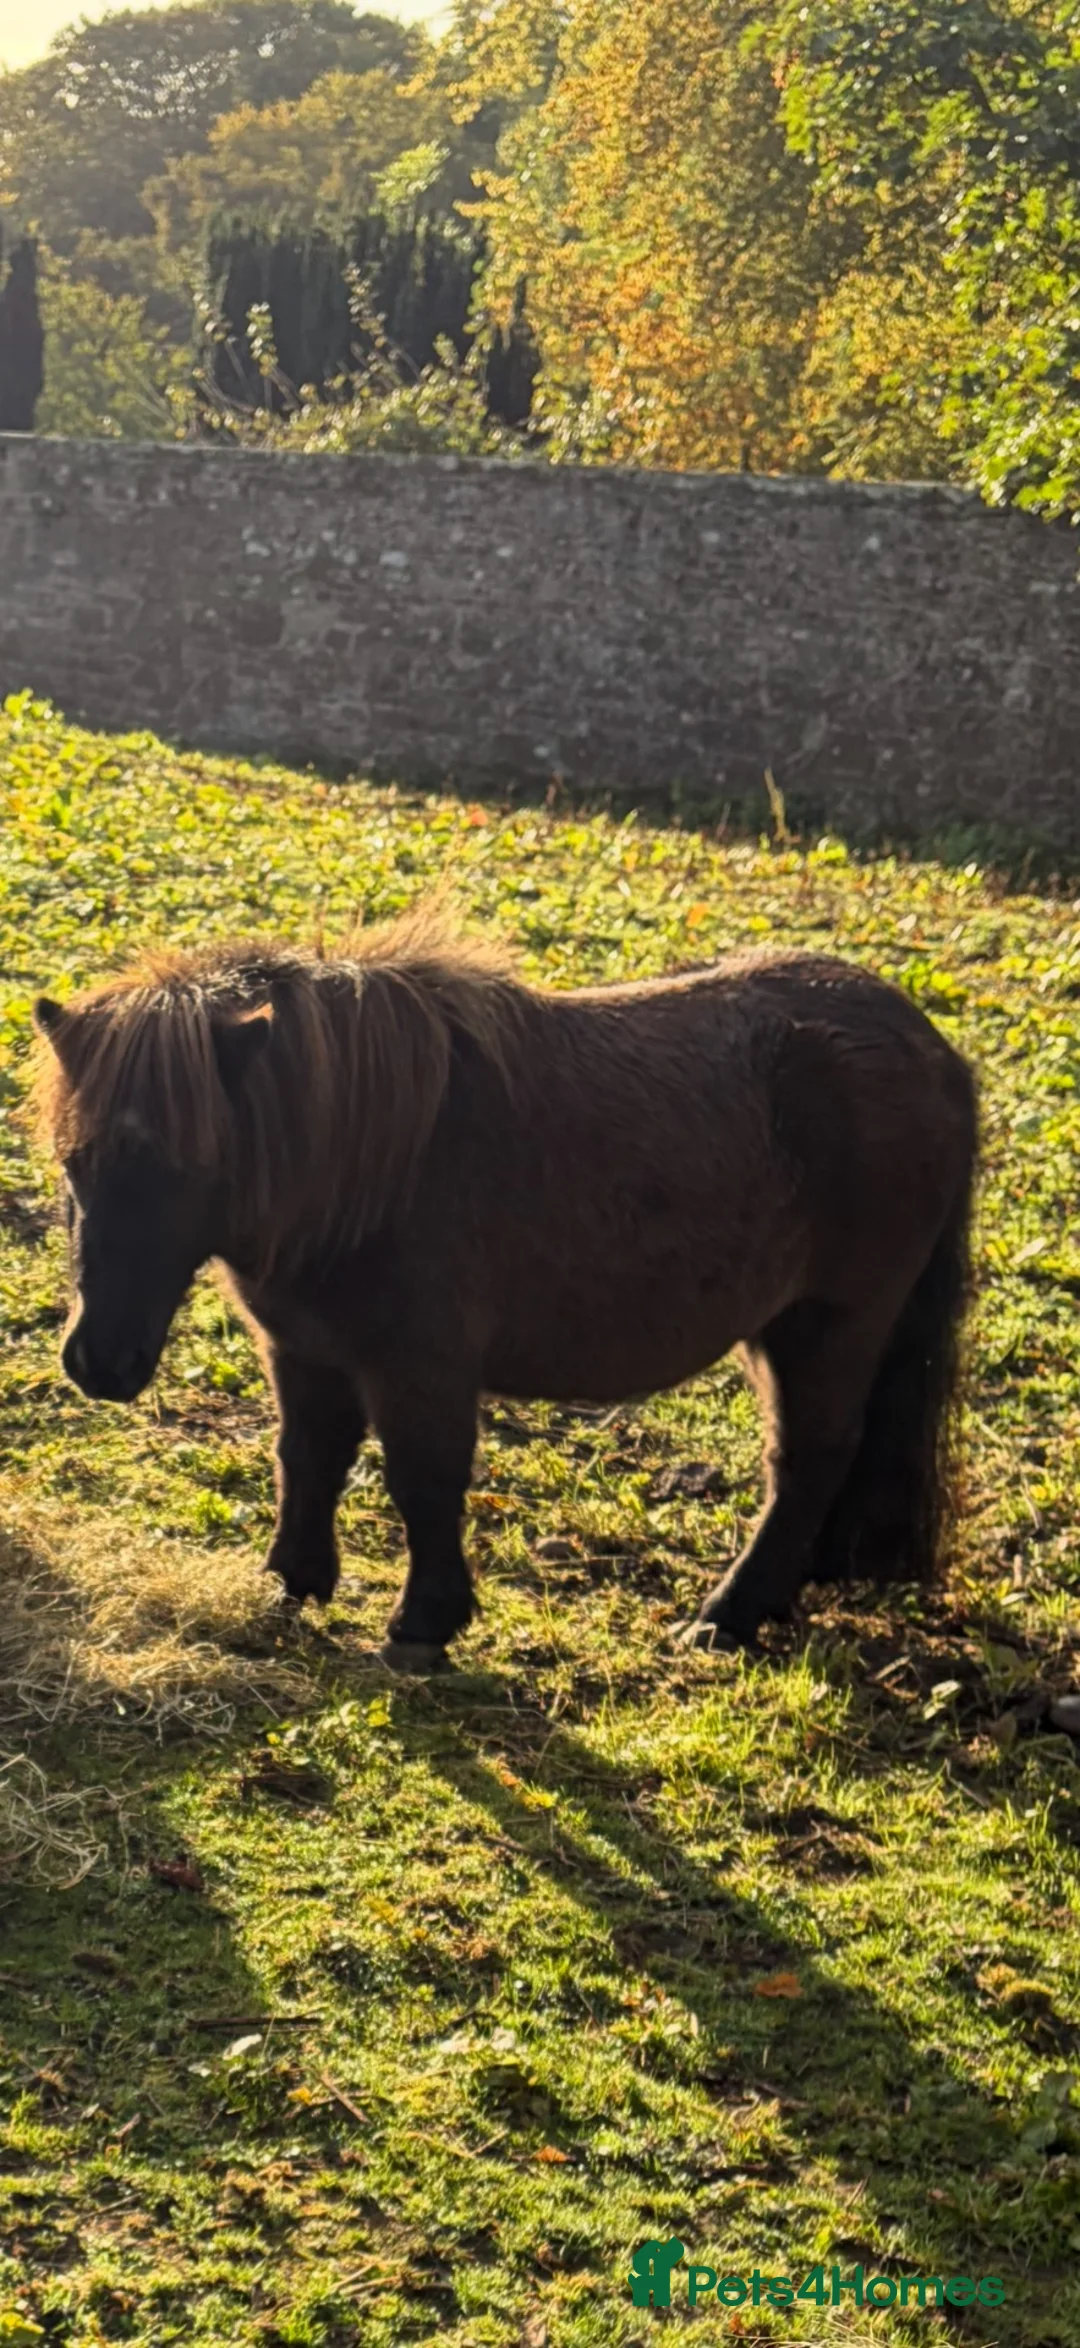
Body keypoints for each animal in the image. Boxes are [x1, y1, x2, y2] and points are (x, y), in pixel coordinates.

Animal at [33, 909, 977, 1670]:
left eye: (184, 1170)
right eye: (75, 1164)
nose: (99, 1363)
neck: (368, 1168)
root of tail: (930, 1049)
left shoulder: (421, 1367)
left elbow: (423, 1479)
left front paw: (423, 1626)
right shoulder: (303, 1351)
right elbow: (307, 1460)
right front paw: (290, 1585)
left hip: (832, 1325)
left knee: (808, 1459)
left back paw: (725, 1617)